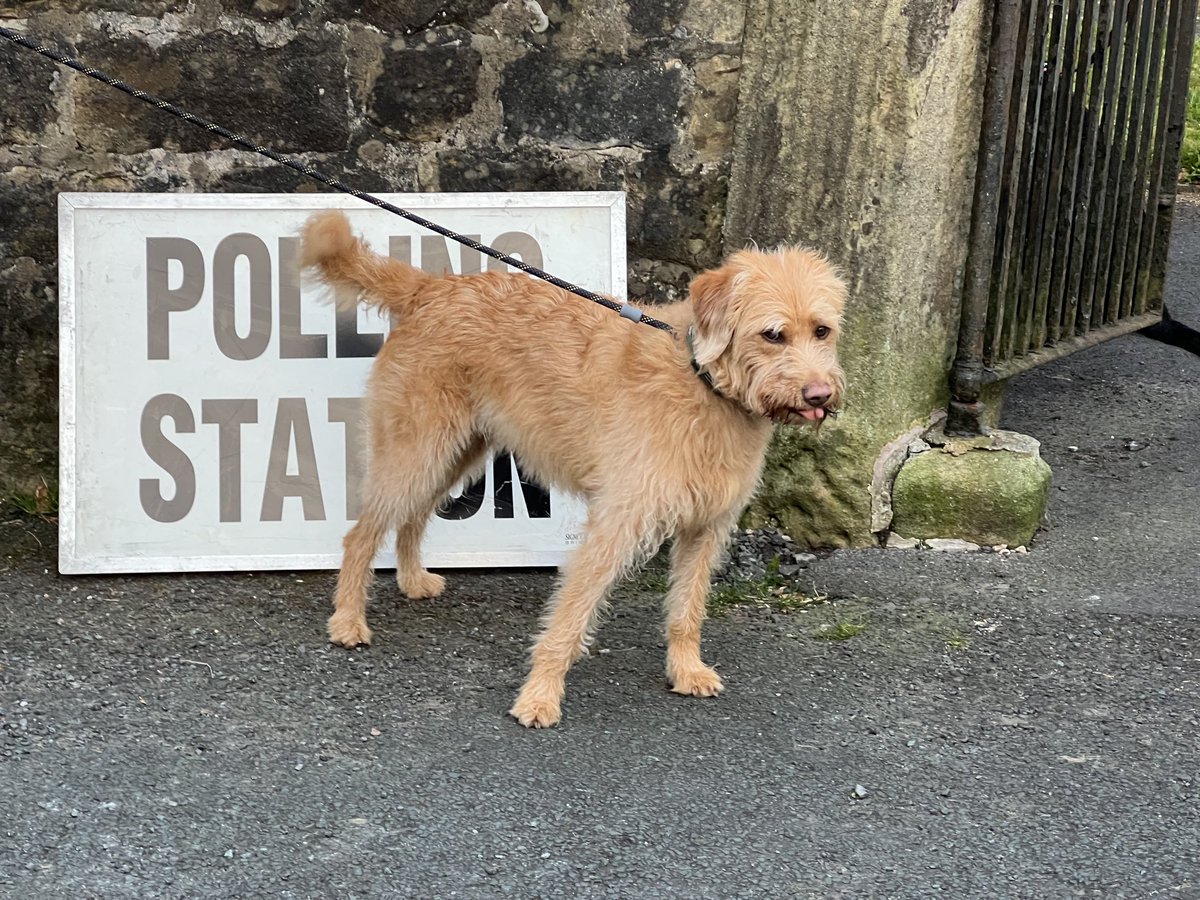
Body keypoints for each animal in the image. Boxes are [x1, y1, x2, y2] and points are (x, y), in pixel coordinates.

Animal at [297, 210, 844, 724]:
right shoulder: (616, 523)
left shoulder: (706, 527)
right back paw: (347, 622)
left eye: (822, 330)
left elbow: (687, 609)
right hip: (415, 453)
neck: (701, 379)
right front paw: (539, 696)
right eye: (772, 335)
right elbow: (569, 616)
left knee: (412, 517)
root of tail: (432, 287)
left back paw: (413, 580)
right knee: (361, 535)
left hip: (455, 455)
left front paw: (686, 670)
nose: (820, 395)